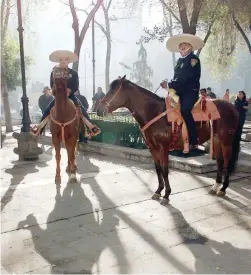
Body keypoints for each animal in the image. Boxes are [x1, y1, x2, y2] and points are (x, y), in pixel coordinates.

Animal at [96, 76, 241, 206]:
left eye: (112, 91)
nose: (98, 110)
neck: (154, 112)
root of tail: (232, 107)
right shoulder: (152, 148)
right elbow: (158, 168)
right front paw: (158, 191)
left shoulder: (163, 147)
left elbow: (165, 169)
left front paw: (166, 195)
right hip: (216, 140)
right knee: (220, 162)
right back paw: (216, 186)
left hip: (226, 141)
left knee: (227, 162)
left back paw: (223, 188)